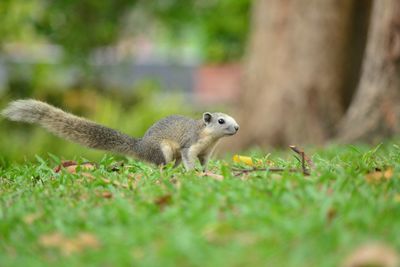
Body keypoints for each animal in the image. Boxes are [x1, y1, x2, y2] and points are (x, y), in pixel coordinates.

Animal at [1, 99, 239, 171]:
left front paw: (206, 171)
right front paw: (192, 173)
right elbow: (190, 158)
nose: (237, 128)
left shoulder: (206, 151)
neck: (209, 137)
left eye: (232, 118)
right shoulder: (190, 144)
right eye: (221, 121)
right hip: (163, 150)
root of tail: (140, 146)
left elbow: (204, 161)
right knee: (160, 164)